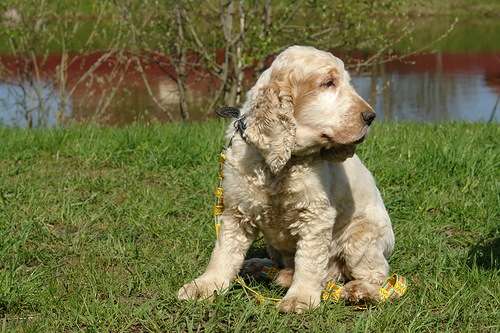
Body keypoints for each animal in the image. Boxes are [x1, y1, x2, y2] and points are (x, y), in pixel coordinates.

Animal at [179, 45, 394, 312]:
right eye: (328, 83)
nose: (371, 116)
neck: (282, 164)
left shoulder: (316, 216)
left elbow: (309, 261)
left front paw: (300, 298)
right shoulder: (235, 211)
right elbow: (223, 253)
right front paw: (204, 286)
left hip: (360, 239)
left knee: (377, 276)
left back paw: (359, 291)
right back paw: (262, 267)